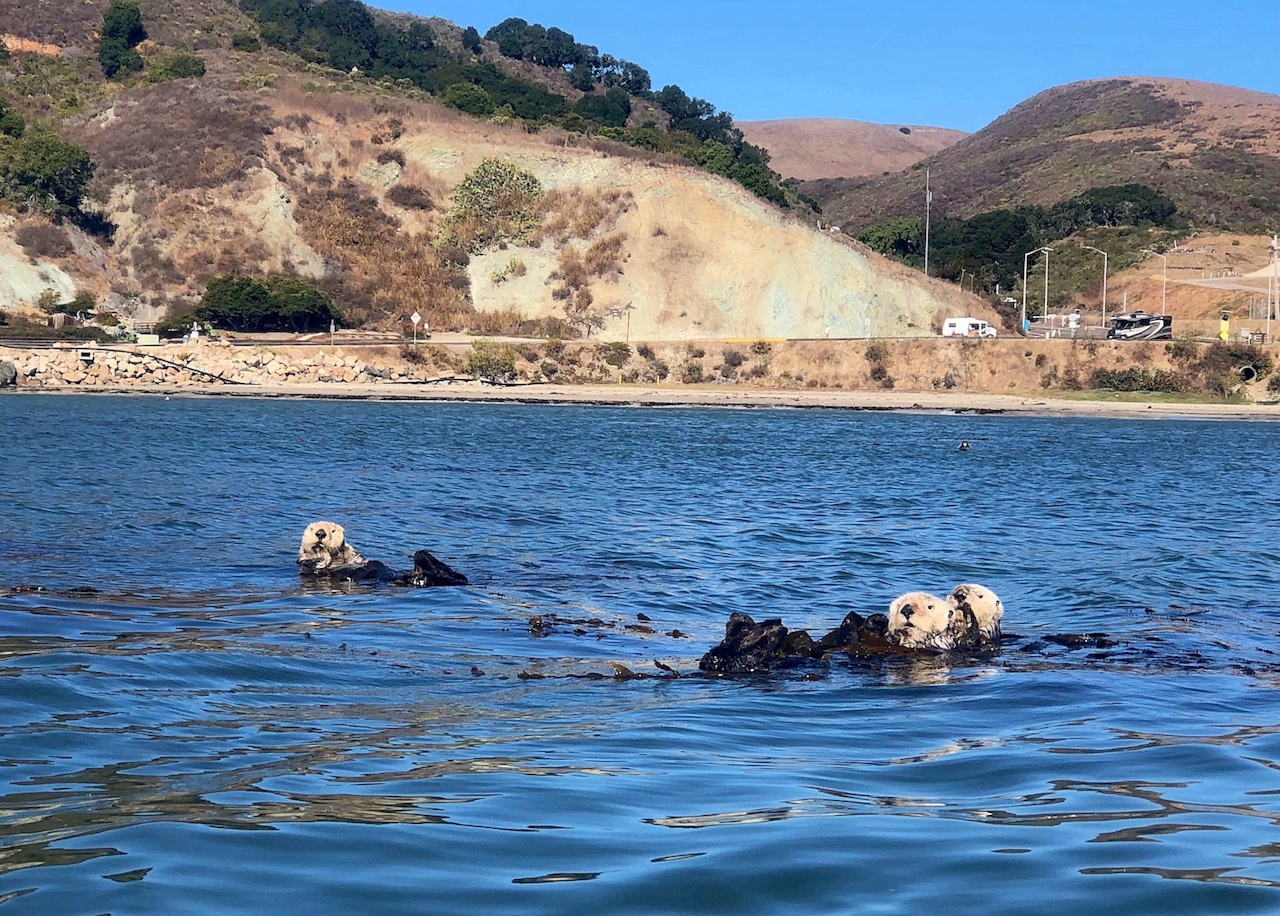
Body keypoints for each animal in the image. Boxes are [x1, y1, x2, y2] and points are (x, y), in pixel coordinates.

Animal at [293, 521, 465, 585]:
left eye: (333, 531)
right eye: (312, 529)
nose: (321, 533)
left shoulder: (354, 558)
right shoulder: (307, 565)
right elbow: (312, 561)